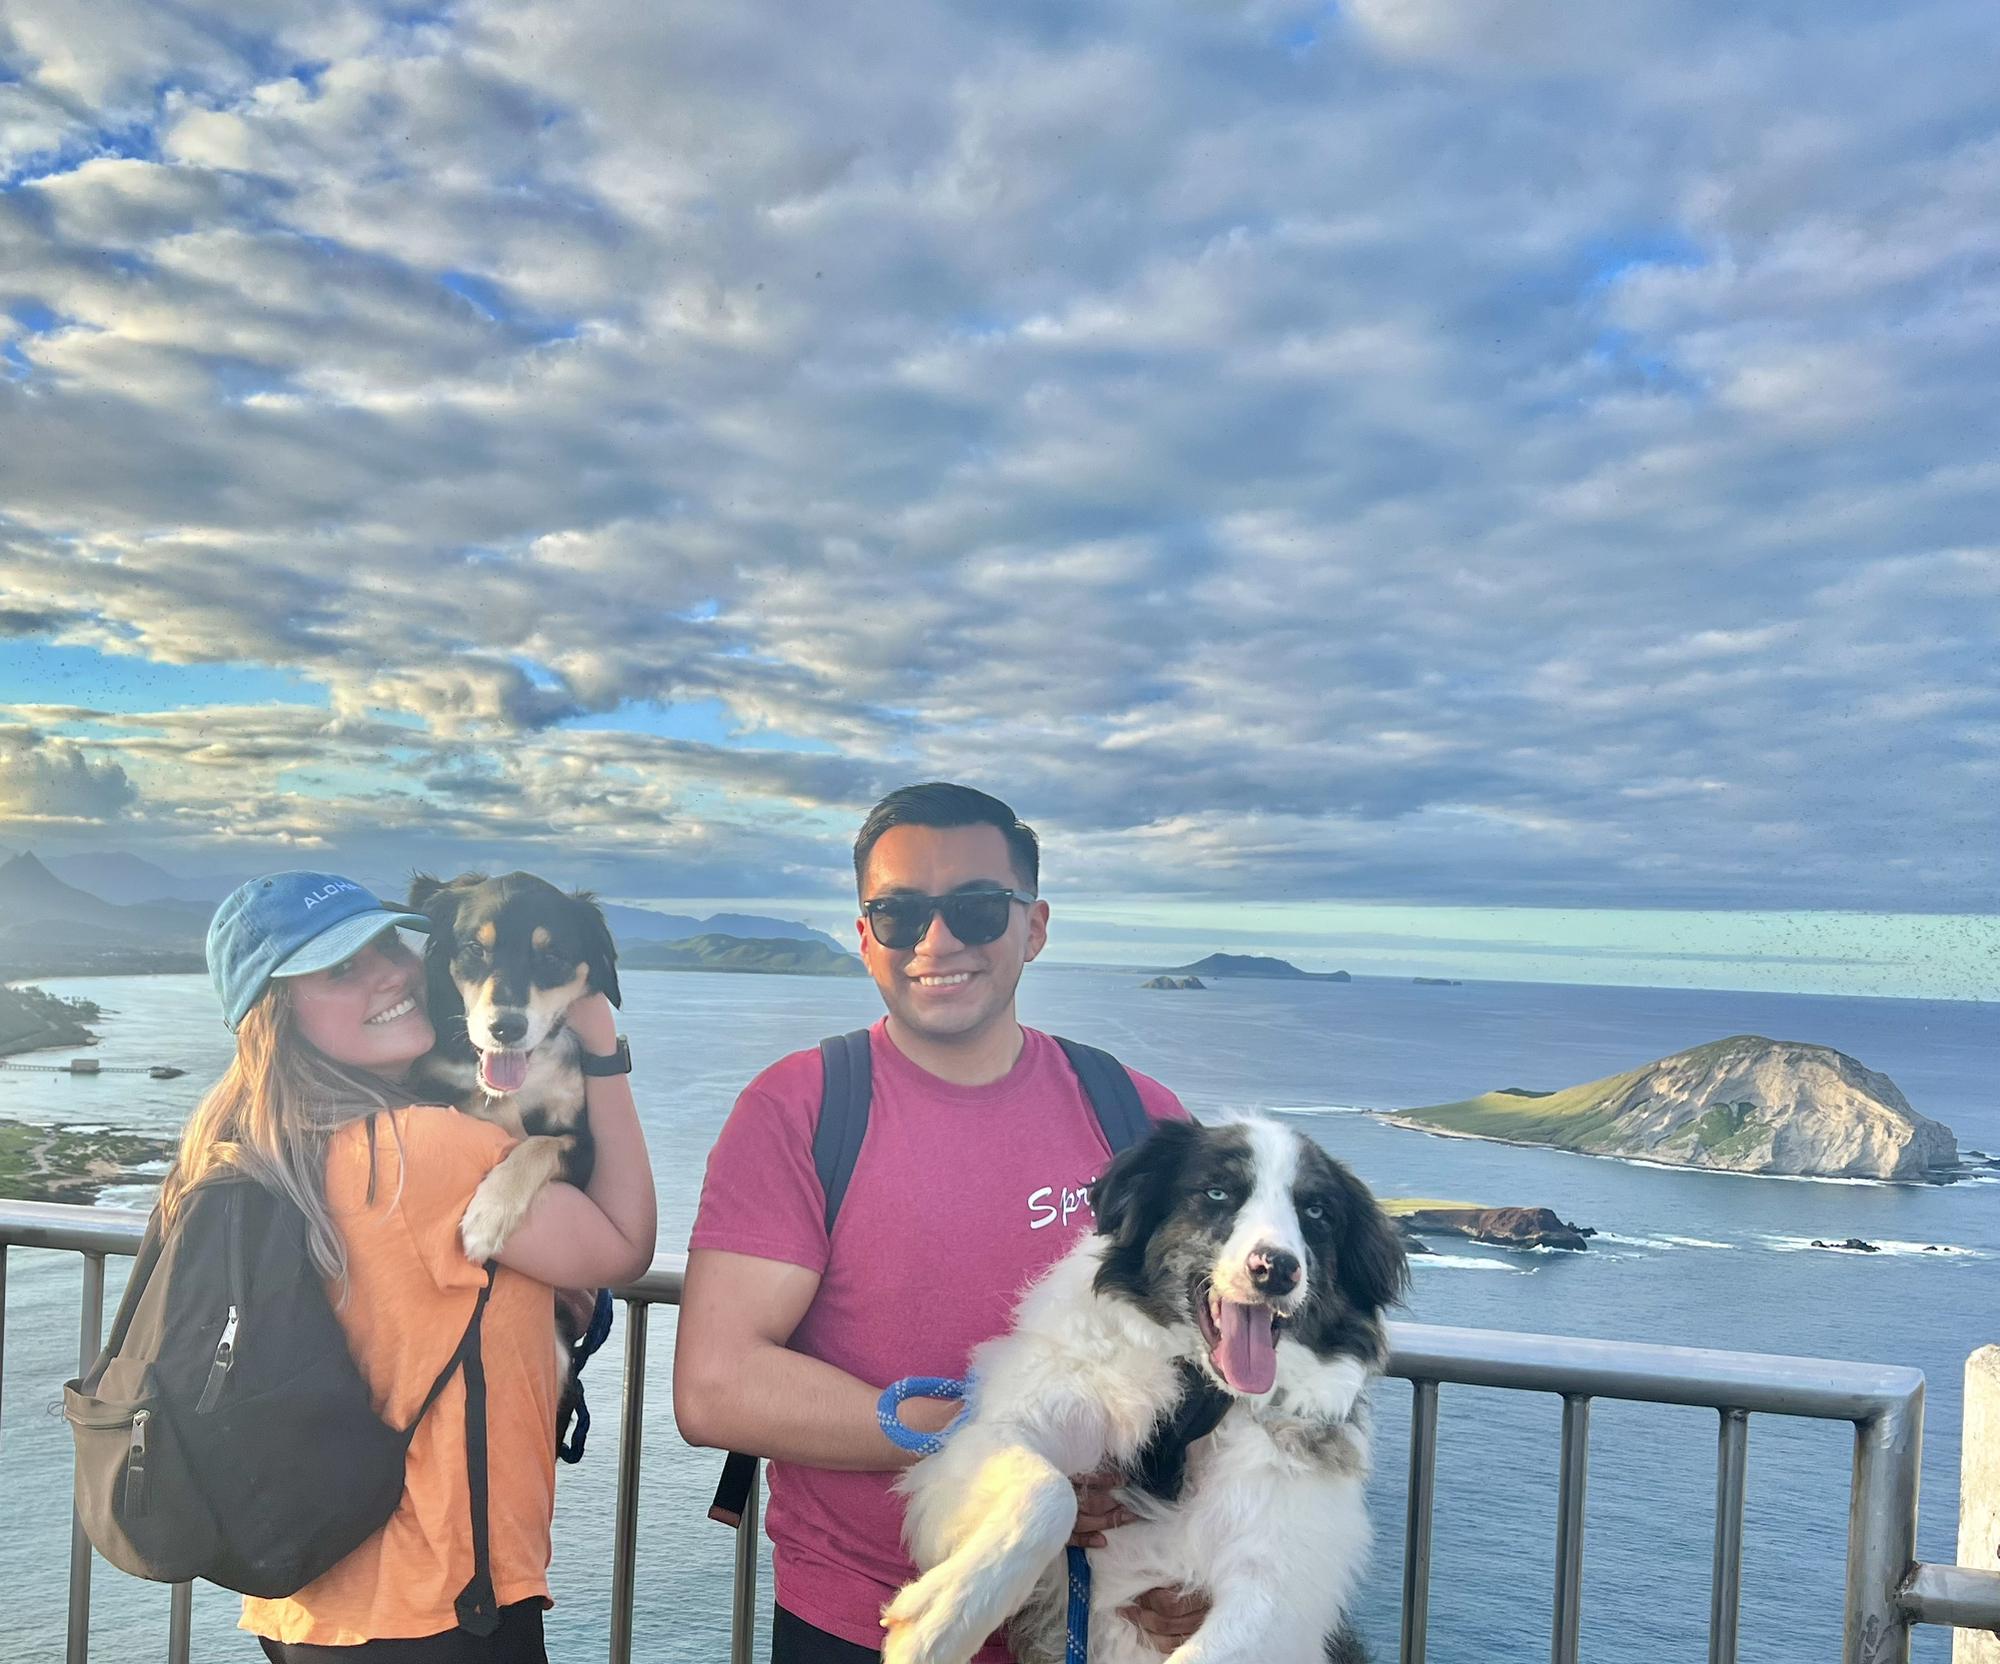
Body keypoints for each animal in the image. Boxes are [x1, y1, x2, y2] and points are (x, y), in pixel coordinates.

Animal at [405, 871, 622, 1432]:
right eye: (474, 949)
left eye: (552, 956)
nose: (507, 1028)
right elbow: (488, 1105)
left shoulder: (585, 1143)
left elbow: (538, 1144)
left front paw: (487, 1217)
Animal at [885, 1117, 1406, 1664]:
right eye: (1217, 1192)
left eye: (1316, 1212)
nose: (1277, 1268)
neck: (1202, 1401)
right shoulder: (1001, 1426)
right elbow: (1049, 1494)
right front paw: (938, 1625)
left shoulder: (1282, 1588)